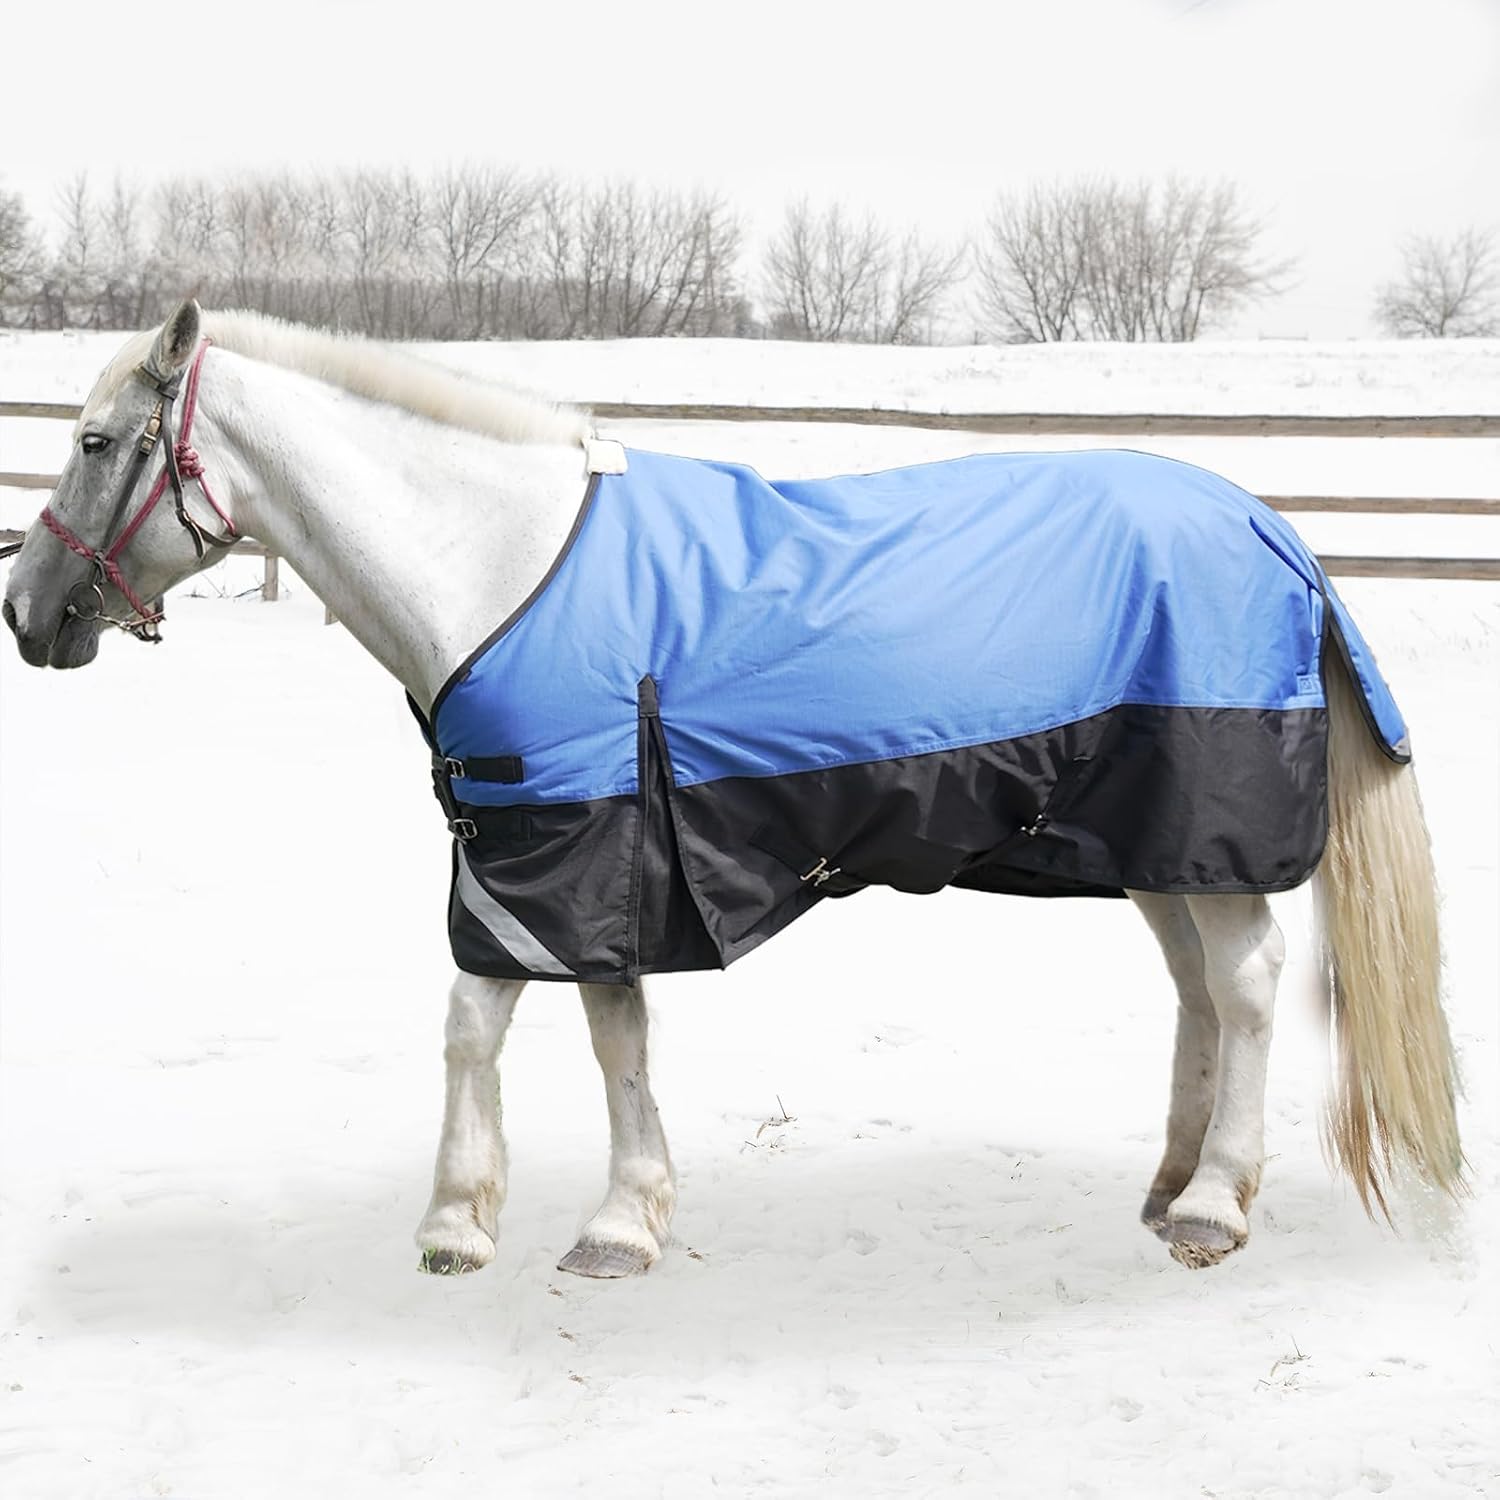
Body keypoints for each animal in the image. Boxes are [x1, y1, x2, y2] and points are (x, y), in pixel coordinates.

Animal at [1, 300, 1464, 1279]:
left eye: (94, 442)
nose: (26, 612)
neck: (500, 564)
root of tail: (1268, 523)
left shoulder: (552, 844)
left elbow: (480, 1025)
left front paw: (461, 1222)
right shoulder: (577, 855)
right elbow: (609, 1036)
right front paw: (617, 1217)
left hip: (1200, 828)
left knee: (1250, 983)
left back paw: (1215, 1206)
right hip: (1153, 843)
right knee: (1198, 991)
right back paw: (1169, 1186)